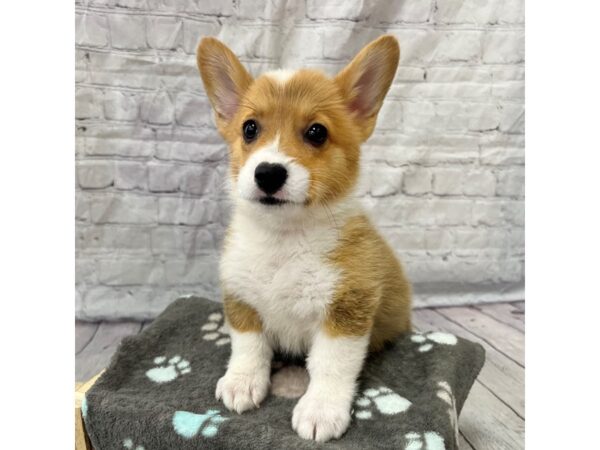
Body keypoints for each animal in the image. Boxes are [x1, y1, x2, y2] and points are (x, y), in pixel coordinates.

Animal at [197, 36, 412, 442]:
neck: (284, 239)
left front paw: (321, 410)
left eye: (317, 132)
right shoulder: (241, 298)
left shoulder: (346, 311)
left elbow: (331, 366)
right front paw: (242, 382)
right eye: (249, 129)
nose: (268, 173)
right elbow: (248, 347)